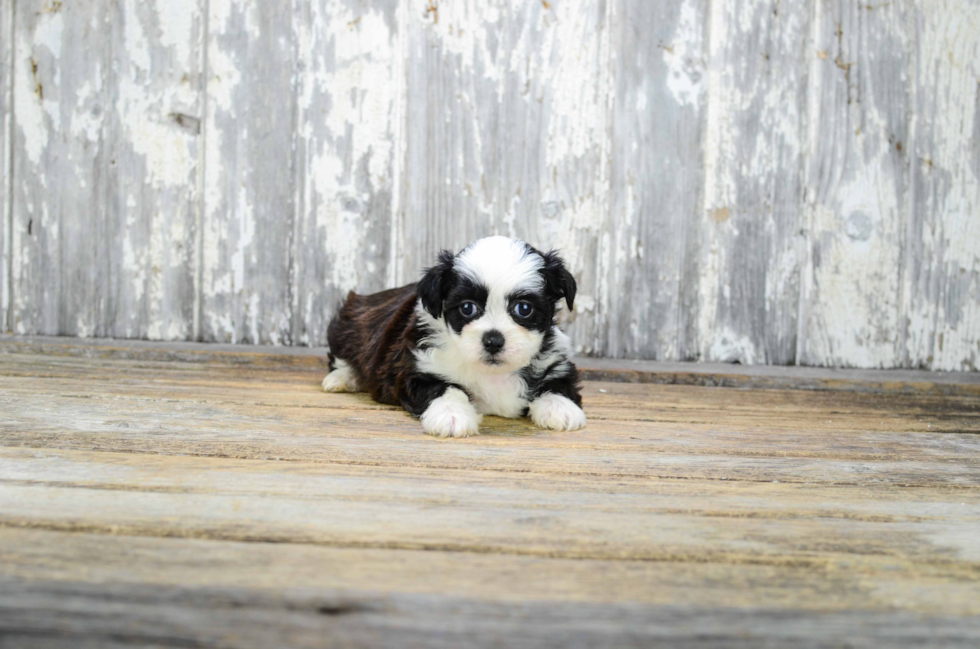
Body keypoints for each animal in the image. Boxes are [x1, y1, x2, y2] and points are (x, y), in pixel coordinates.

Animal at [322, 235, 584, 438]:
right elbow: (445, 388)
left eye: (524, 309)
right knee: (340, 355)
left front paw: (561, 408)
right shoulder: (413, 368)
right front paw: (451, 415)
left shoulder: (557, 361)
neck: (492, 373)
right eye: (467, 308)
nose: (493, 340)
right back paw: (343, 378)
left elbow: (556, 384)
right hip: (349, 324)